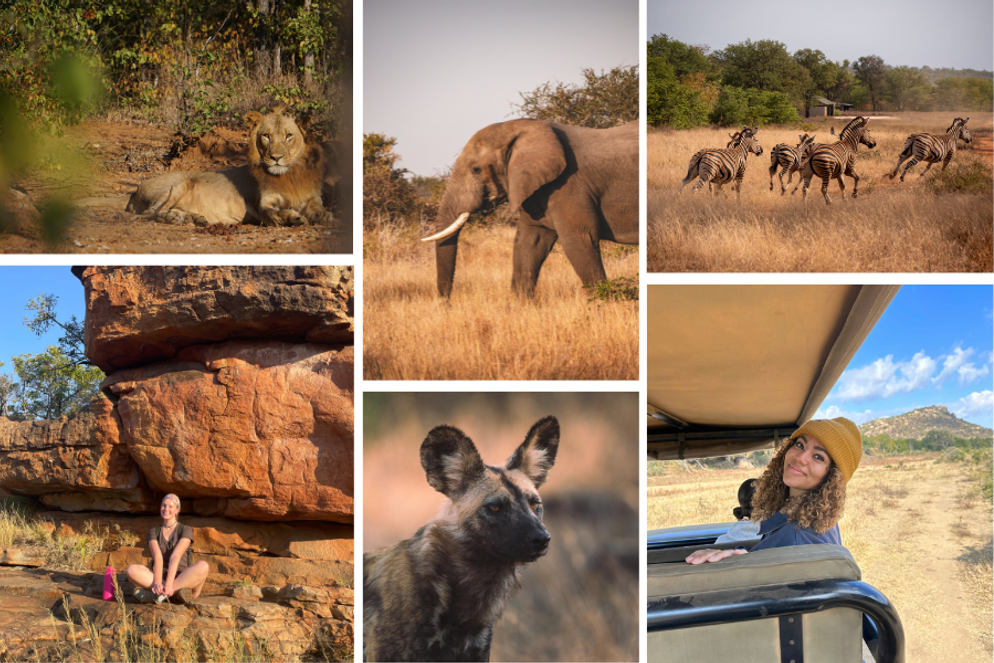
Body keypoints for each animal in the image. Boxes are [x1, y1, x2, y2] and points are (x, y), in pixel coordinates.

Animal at [124, 104, 330, 228]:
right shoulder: (263, 204)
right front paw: (294, 217)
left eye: (288, 136)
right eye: (266, 136)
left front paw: (323, 216)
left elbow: (317, 208)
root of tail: (136, 189)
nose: (276, 157)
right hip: (176, 186)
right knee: (150, 214)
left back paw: (192, 218)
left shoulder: (312, 197)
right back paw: (175, 218)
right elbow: (273, 213)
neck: (289, 175)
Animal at [418, 118, 636, 296]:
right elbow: (529, 242)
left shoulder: (569, 186)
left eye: (475, 169)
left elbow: (581, 239)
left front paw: (600, 309)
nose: (446, 303)